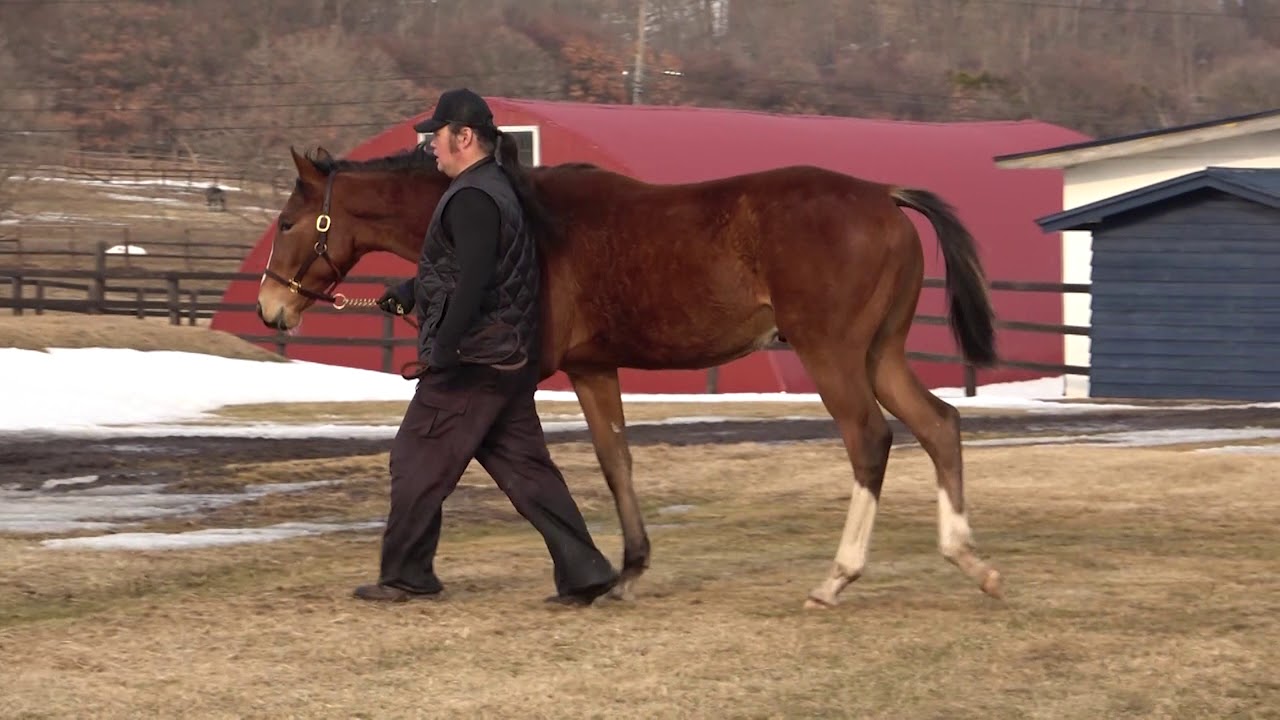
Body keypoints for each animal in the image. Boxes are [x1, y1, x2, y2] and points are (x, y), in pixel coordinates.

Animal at [254, 140, 1003, 604]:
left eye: (289, 221)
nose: (269, 308)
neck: (535, 223)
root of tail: (884, 195)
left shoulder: (522, 370)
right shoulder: (593, 368)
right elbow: (616, 462)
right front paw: (624, 573)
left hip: (834, 354)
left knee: (870, 440)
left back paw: (836, 579)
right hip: (881, 355)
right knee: (940, 424)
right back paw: (972, 561)